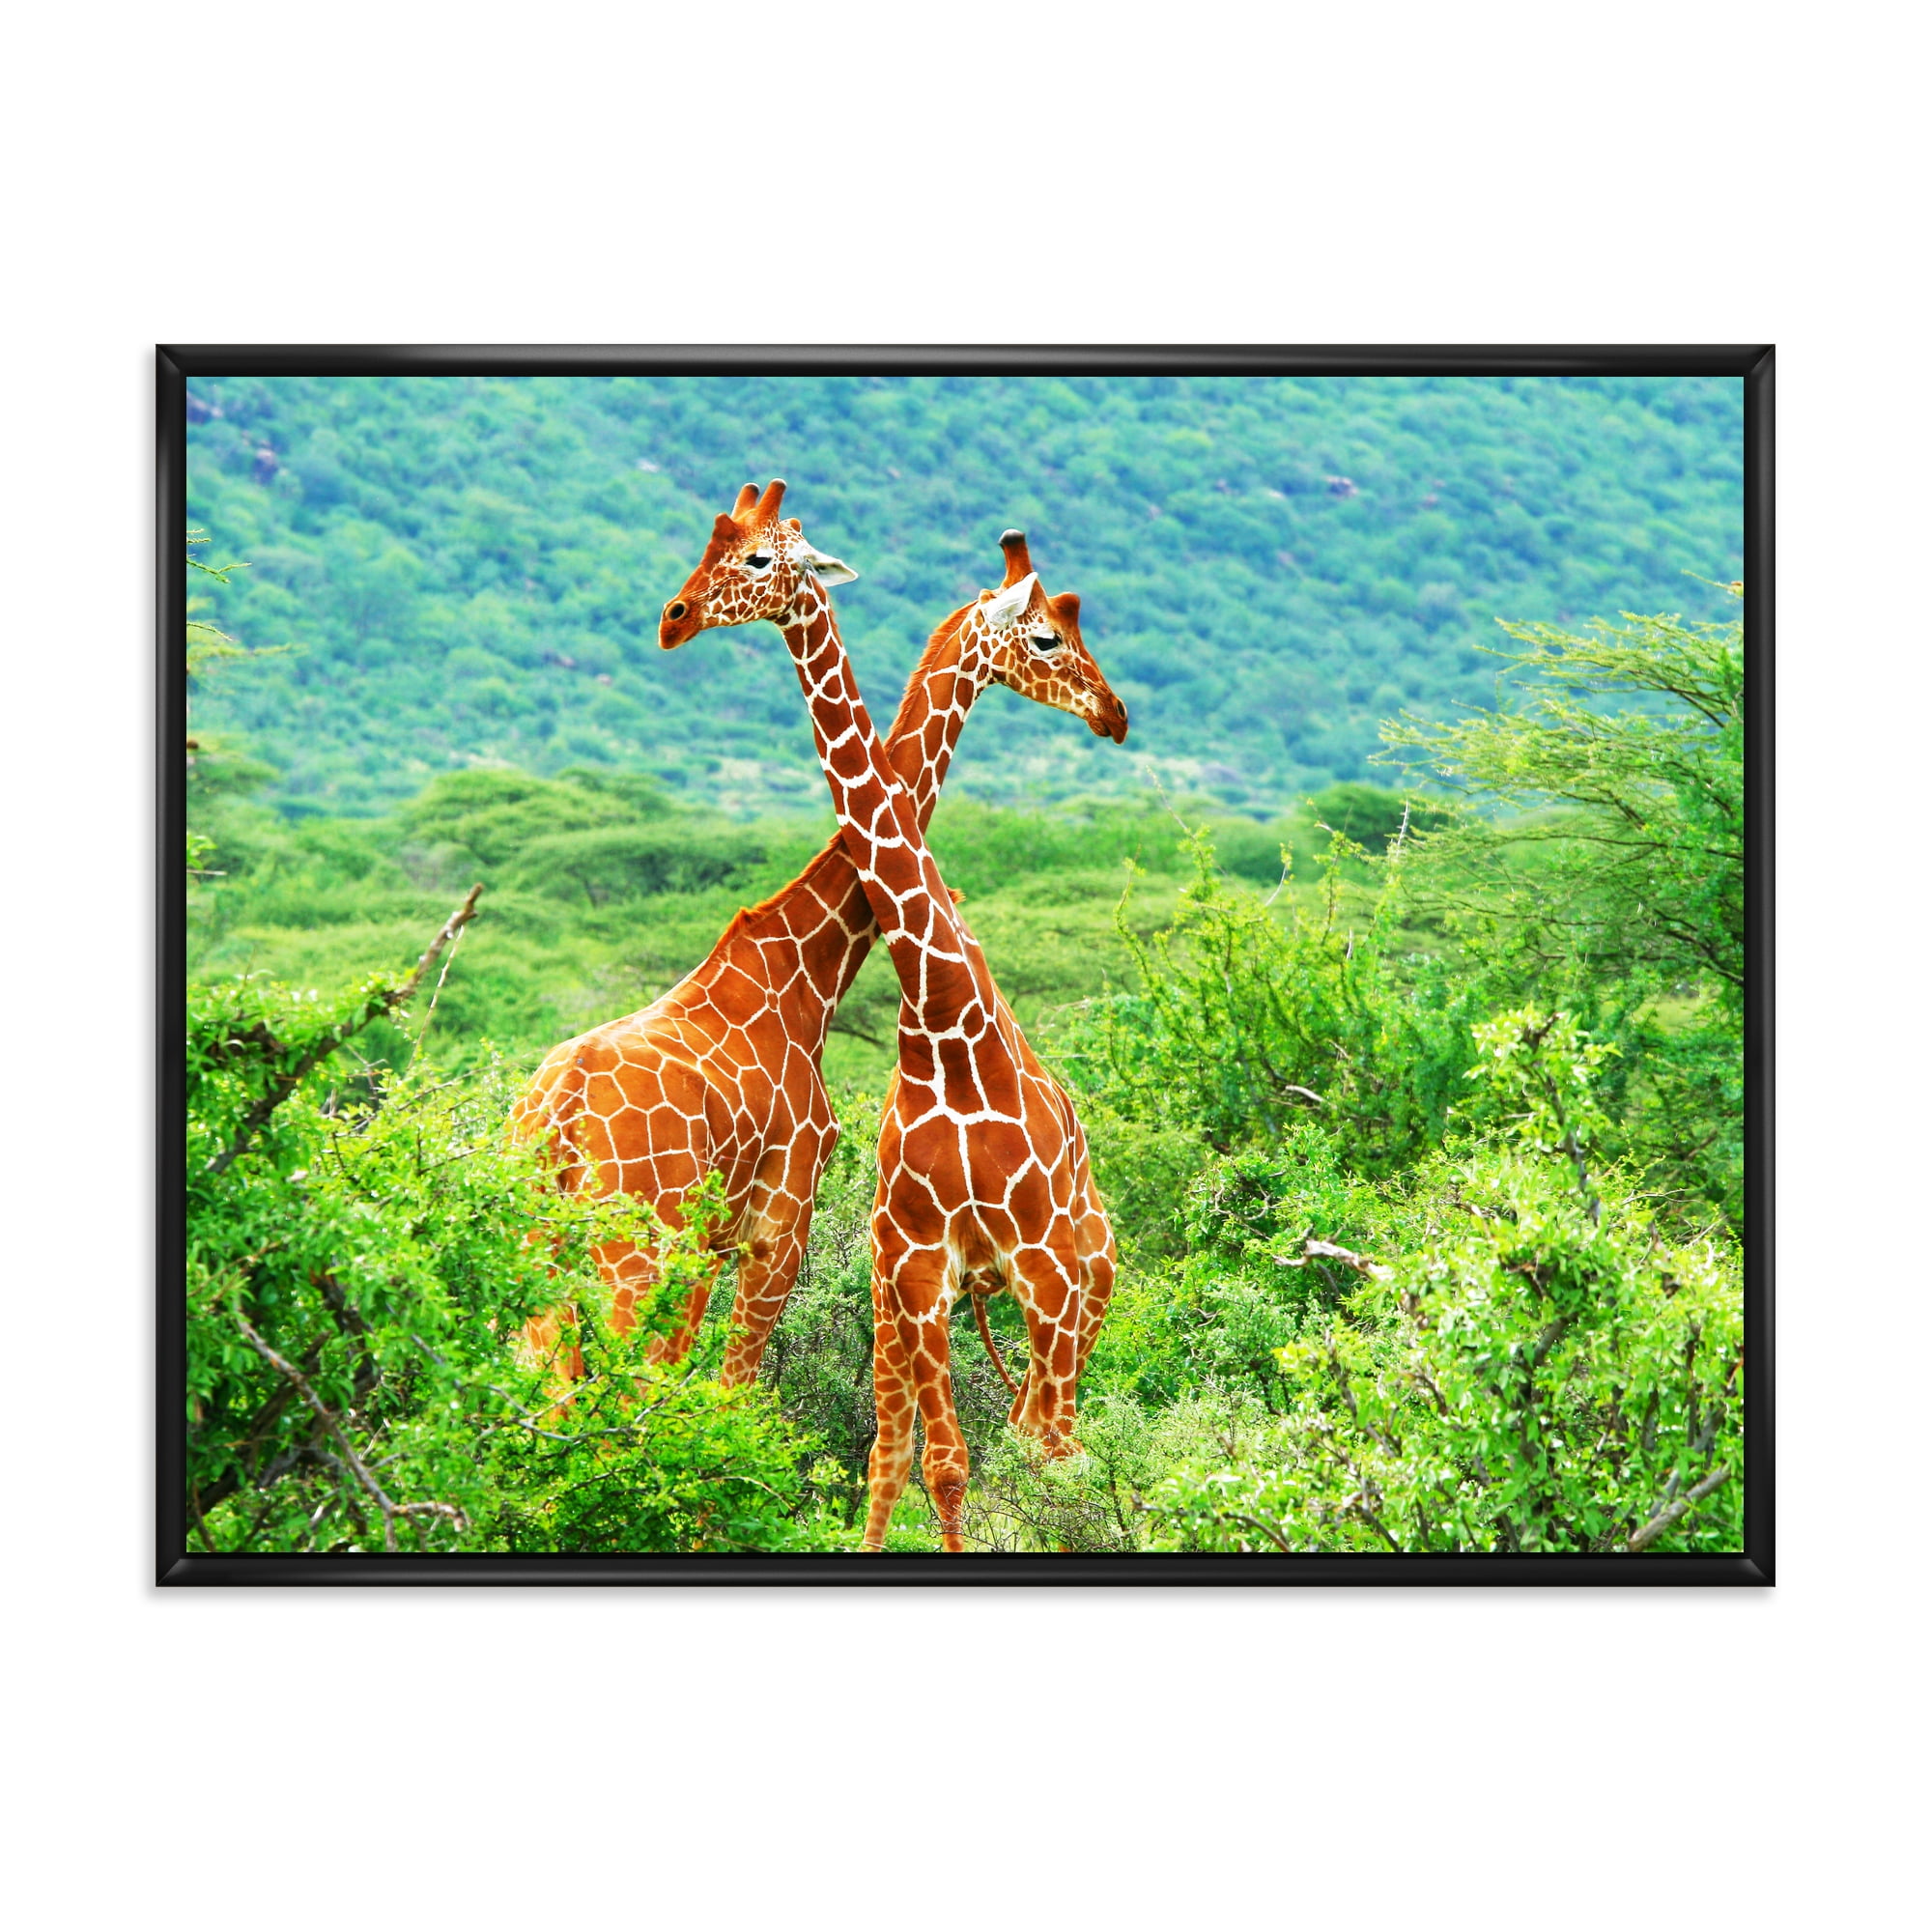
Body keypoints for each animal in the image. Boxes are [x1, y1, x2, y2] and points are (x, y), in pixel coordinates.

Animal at [513, 491, 1127, 1393]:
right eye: (1049, 634)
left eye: (751, 555)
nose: (1112, 712)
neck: (809, 969)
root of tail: (554, 1113)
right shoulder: (780, 1221)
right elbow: (730, 1394)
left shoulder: (720, 1240)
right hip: (634, 1242)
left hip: (543, 1238)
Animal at [660, 481, 1122, 1551]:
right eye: (1048, 635)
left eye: (756, 558)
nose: (1115, 714)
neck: (945, 1019)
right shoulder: (913, 1262)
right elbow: (937, 1462)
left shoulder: (1039, 1263)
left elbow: (1025, 1456)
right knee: (931, 1440)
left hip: (1085, 1278)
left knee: (1060, 1436)